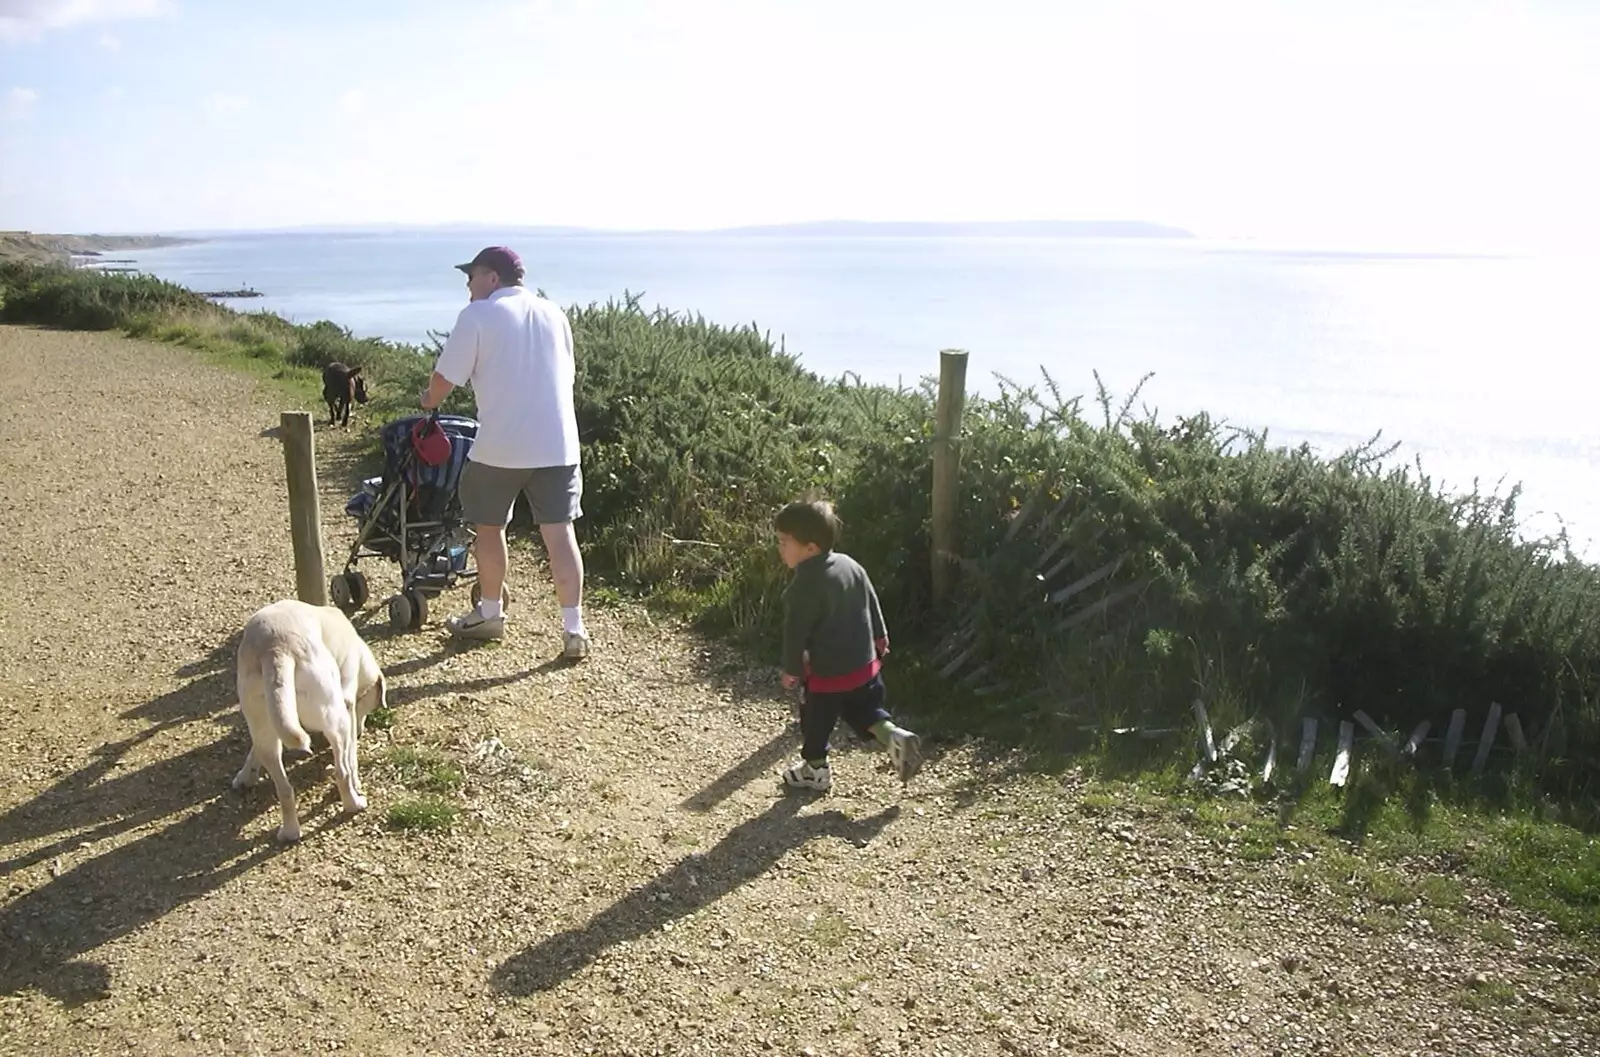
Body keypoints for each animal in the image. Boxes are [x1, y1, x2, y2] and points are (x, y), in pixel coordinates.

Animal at [232, 601, 387, 837]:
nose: (361, 731)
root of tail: (275, 649)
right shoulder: (348, 706)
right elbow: (351, 759)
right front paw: (357, 781)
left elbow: (253, 751)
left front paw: (245, 777)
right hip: (338, 720)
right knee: (342, 772)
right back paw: (354, 804)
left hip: (265, 724)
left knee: (284, 789)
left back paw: (290, 833)